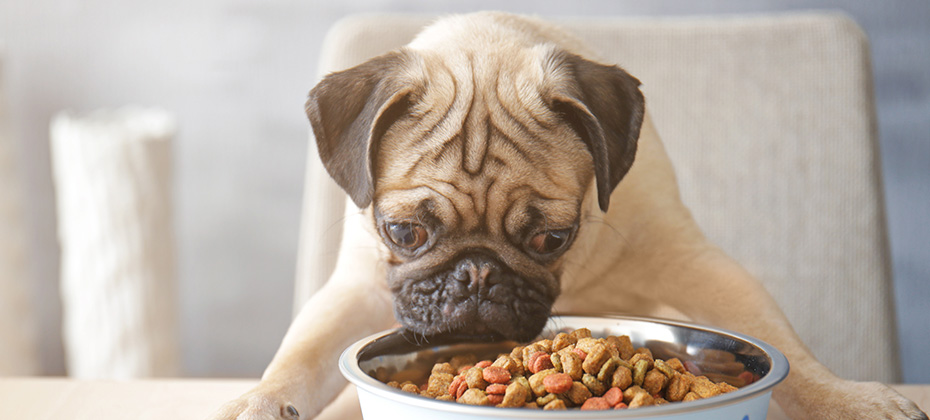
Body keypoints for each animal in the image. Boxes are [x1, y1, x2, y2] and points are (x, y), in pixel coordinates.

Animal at [207, 9, 924, 420]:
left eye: (552, 238)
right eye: (404, 232)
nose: (476, 276)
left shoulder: (693, 264)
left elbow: (792, 351)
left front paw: (850, 400)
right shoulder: (359, 287)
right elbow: (300, 355)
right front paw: (258, 400)